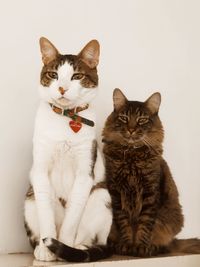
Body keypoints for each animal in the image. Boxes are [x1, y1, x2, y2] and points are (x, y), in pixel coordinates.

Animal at [24, 37, 111, 262]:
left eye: (77, 76)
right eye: (53, 75)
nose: (62, 88)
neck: (66, 118)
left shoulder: (85, 174)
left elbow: (71, 222)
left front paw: (64, 248)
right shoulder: (40, 172)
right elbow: (46, 216)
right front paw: (47, 249)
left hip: (101, 196)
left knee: (90, 236)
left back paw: (79, 248)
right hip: (30, 198)